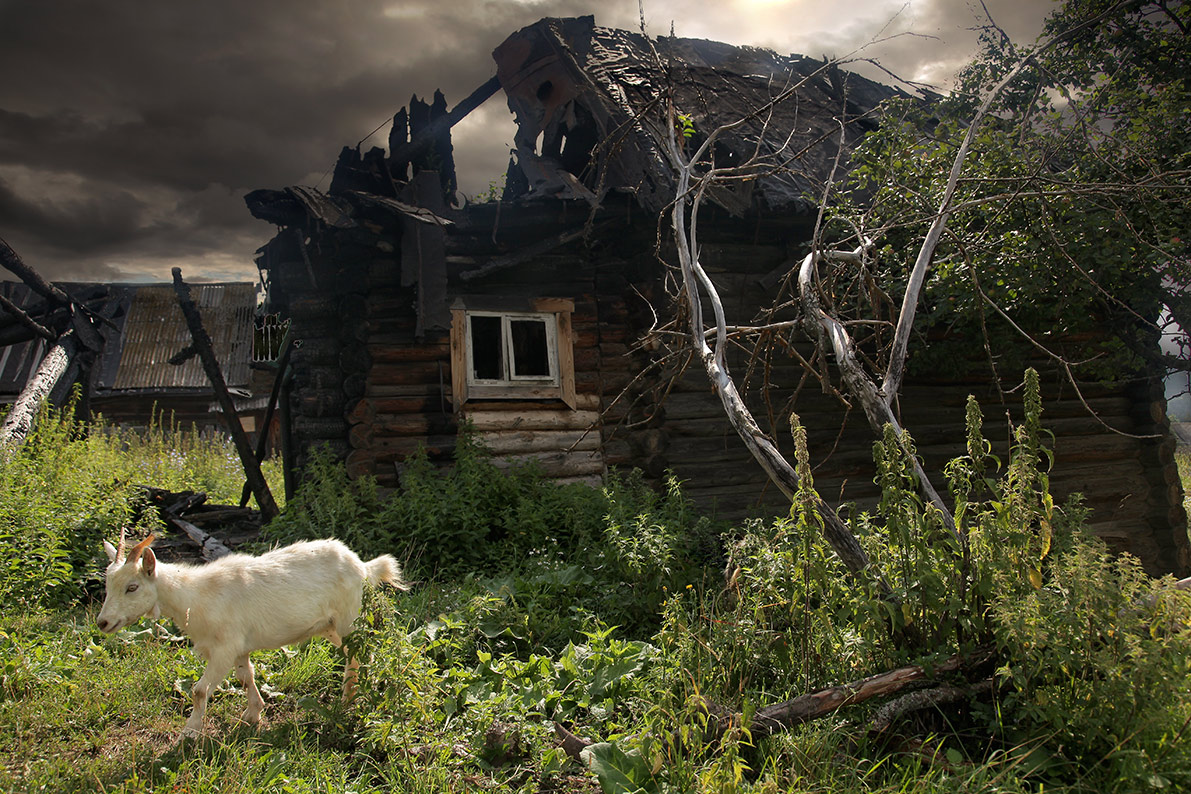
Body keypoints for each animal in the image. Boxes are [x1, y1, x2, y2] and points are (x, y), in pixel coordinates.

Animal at [98, 533, 404, 738]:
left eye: (132, 587)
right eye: (107, 584)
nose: (103, 622)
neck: (195, 595)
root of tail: (364, 566)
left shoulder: (224, 648)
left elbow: (199, 691)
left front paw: (190, 732)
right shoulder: (238, 648)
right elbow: (246, 678)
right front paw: (253, 714)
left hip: (349, 618)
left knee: (360, 653)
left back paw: (351, 699)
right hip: (330, 626)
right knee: (357, 654)